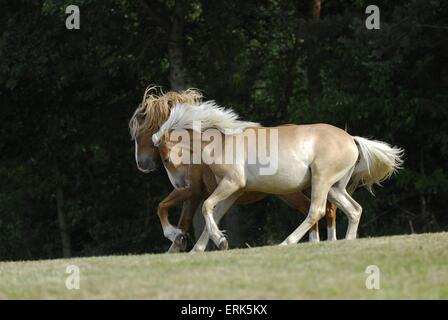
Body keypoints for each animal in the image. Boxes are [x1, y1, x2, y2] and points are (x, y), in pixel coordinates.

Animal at [131, 87, 338, 252]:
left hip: (291, 192)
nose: (142, 164)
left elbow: (165, 209)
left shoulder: (194, 191)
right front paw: (187, 243)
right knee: (327, 208)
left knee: (316, 209)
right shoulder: (199, 192)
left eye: (141, 132)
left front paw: (178, 239)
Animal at [152, 100, 404, 250]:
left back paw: (287, 242)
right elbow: (213, 213)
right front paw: (210, 245)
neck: (222, 142)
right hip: (335, 188)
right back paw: (347, 242)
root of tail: (351, 139)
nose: (181, 185)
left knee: (316, 211)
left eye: (165, 159)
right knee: (354, 210)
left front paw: (207, 240)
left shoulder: (232, 183)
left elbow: (206, 208)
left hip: (320, 182)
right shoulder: (233, 191)